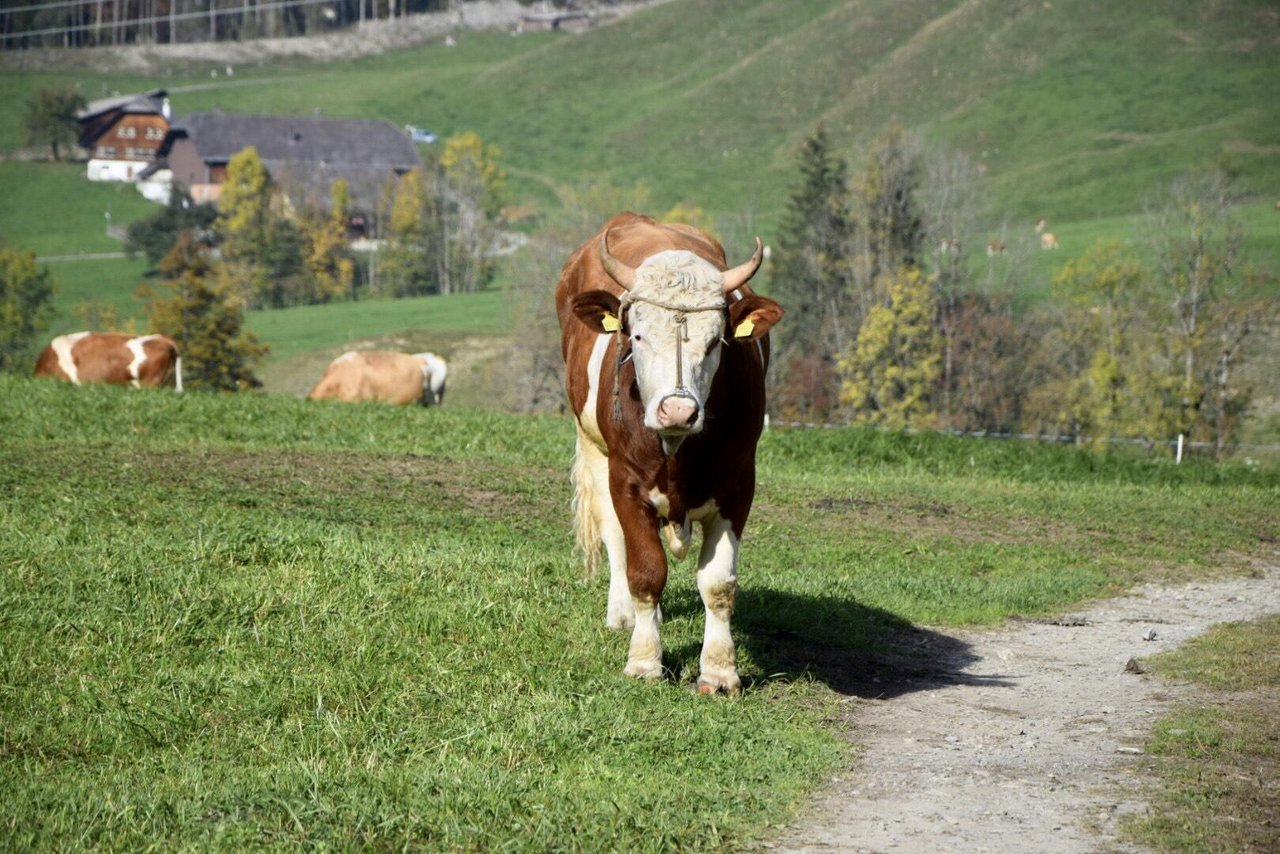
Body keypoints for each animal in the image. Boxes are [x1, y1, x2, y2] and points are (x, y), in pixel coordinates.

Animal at [558, 212, 783, 696]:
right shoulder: (626, 482)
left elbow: (718, 583)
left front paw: (719, 671)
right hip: (595, 449)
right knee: (616, 539)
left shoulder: (739, 485)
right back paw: (624, 614)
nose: (678, 409)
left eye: (716, 341)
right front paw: (645, 661)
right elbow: (645, 570)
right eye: (638, 336)